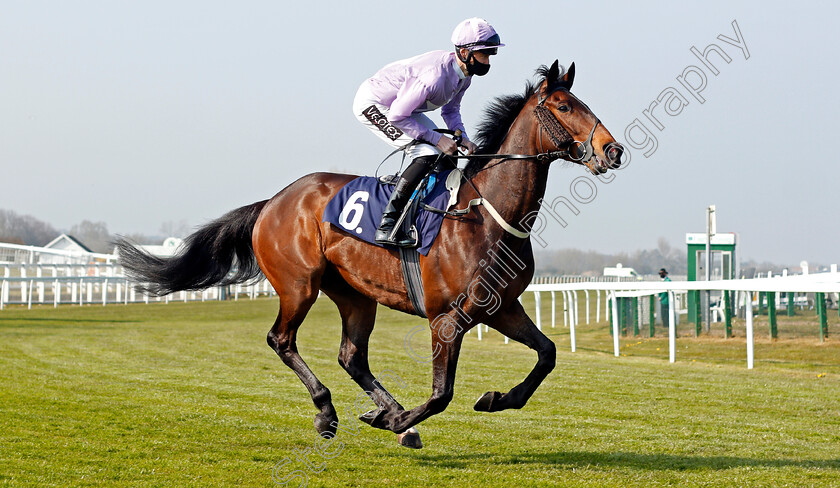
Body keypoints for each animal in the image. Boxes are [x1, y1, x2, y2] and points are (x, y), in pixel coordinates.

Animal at [118, 62, 624, 450]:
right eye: (564, 106)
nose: (612, 150)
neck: (486, 214)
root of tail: (273, 202)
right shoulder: (446, 318)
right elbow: (441, 393)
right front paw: (395, 421)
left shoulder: (500, 307)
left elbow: (548, 353)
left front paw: (496, 399)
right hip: (298, 285)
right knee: (282, 340)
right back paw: (331, 413)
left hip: (354, 294)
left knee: (351, 356)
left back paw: (387, 412)